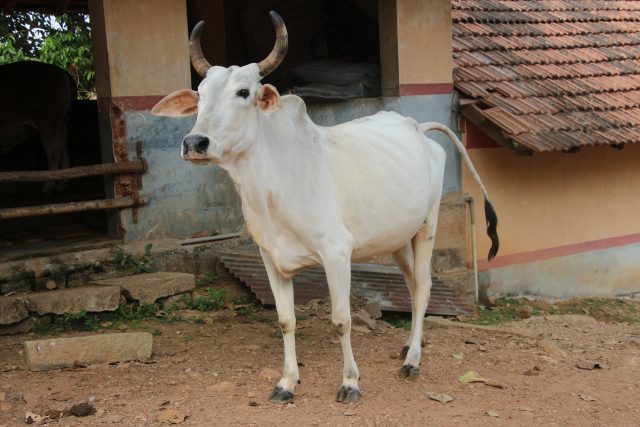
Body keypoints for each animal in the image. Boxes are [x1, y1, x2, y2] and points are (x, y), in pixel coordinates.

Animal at [152, 10, 498, 404]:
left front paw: (350, 382)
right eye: (201, 96)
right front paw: (287, 382)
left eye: (244, 92)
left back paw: (412, 360)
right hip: (396, 239)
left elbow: (341, 319)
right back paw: (411, 344)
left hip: (427, 226)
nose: (195, 142)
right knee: (412, 286)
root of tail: (416, 126)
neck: (272, 186)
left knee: (424, 286)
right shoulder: (270, 258)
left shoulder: (336, 254)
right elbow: (286, 319)